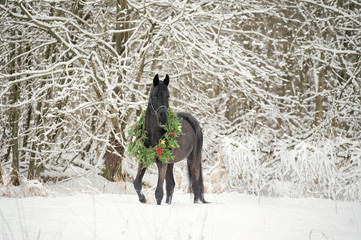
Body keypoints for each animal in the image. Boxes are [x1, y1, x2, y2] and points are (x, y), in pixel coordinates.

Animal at [133, 73, 207, 204]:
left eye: (168, 96)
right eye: (154, 96)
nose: (163, 119)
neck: (153, 135)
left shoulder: (162, 163)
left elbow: (158, 192)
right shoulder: (144, 158)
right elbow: (137, 183)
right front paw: (143, 199)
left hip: (193, 159)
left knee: (196, 185)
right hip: (171, 162)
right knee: (171, 185)